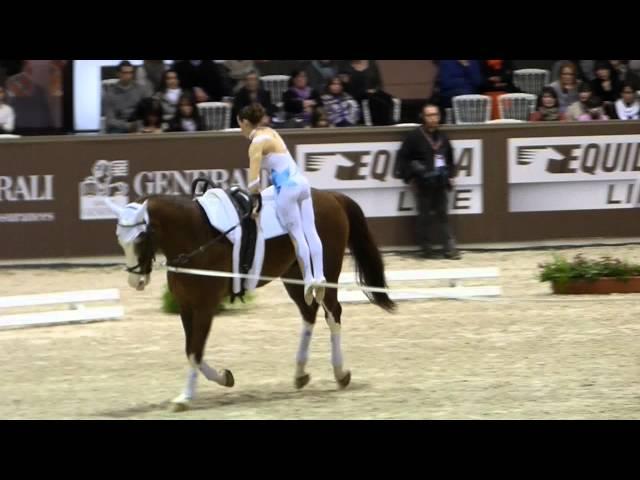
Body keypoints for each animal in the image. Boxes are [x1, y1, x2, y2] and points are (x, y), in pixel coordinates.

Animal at [105, 186, 396, 410]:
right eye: (120, 238)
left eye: (141, 237)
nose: (136, 281)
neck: (196, 236)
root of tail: (331, 196)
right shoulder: (186, 306)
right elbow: (191, 351)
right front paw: (224, 377)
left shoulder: (205, 307)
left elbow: (196, 351)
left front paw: (186, 397)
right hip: (295, 276)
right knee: (309, 314)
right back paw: (300, 373)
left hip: (325, 272)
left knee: (333, 314)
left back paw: (340, 373)